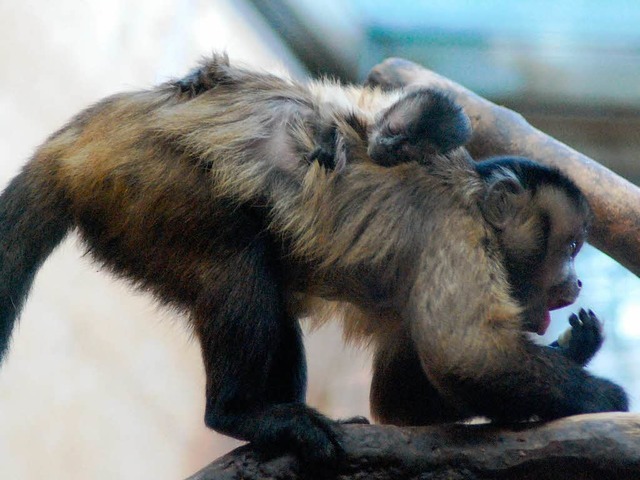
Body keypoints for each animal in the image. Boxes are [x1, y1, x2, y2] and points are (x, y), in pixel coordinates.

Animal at [0, 53, 628, 468]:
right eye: (572, 248)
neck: (475, 205)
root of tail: (81, 139)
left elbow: (400, 403)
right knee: (236, 259)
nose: (575, 282)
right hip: (147, 180)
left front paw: (575, 348)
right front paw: (603, 396)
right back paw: (238, 413)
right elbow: (467, 356)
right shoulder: (457, 234)